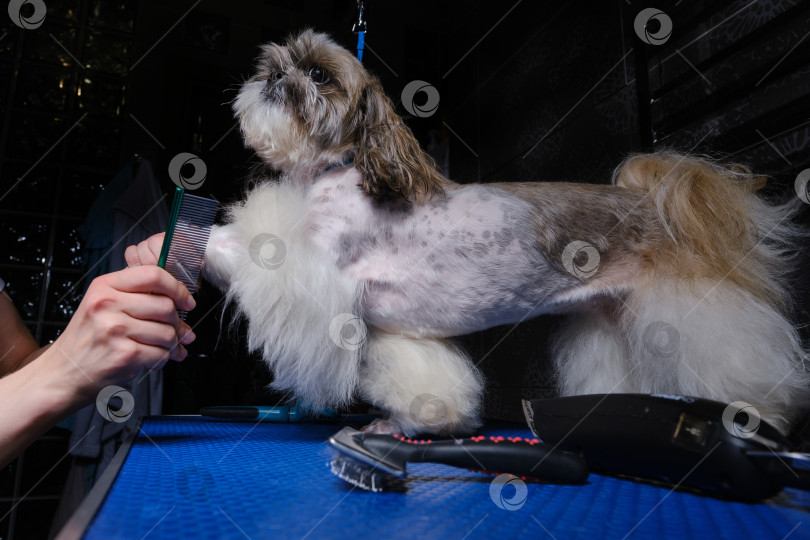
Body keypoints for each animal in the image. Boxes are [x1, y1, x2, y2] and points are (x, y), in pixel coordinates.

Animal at [204, 28, 808, 434]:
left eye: (318, 75)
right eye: (273, 62)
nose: (273, 75)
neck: (339, 169)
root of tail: (652, 203)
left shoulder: (312, 269)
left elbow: (254, 246)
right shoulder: (386, 325)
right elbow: (421, 378)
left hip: (692, 308)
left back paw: (757, 413)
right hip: (612, 321)